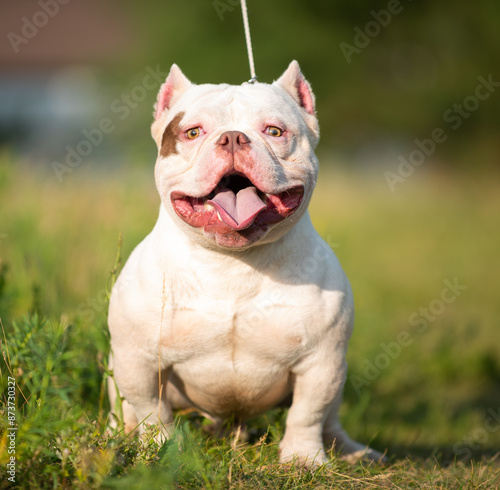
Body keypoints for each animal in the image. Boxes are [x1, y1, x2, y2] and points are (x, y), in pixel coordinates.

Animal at [107, 61, 384, 468]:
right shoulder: (138, 359)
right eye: (193, 132)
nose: (234, 138)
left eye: (274, 131)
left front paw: (303, 458)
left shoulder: (322, 362)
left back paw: (350, 451)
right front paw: (160, 450)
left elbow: (307, 413)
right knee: (122, 412)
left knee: (330, 420)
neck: (232, 263)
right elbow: (151, 411)